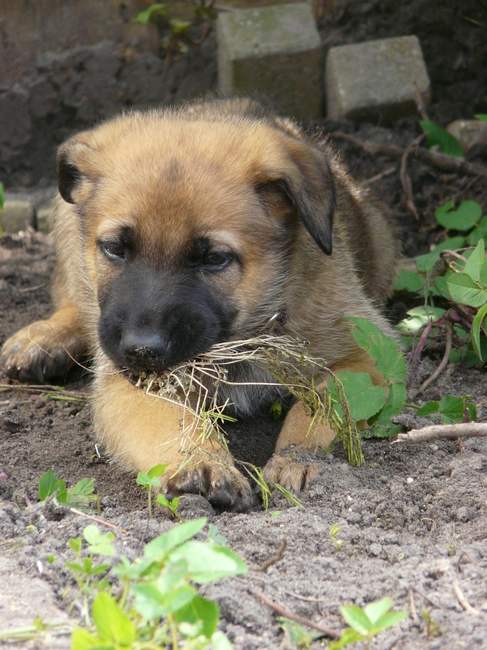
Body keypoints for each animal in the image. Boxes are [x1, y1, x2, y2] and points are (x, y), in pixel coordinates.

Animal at [0, 98, 398, 511]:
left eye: (214, 259)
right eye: (114, 249)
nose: (141, 350)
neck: (240, 337)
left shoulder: (368, 354)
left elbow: (323, 402)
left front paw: (296, 458)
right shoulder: (134, 384)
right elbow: (170, 419)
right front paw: (201, 461)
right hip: (66, 222)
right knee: (73, 299)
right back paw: (44, 338)